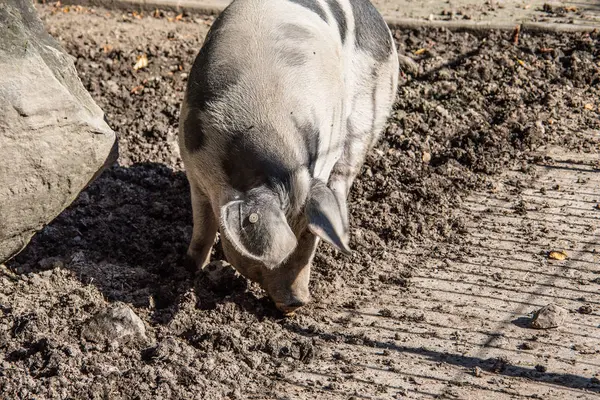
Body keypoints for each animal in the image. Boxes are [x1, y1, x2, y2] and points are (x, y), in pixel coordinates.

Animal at [180, 0, 400, 314]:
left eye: (310, 238)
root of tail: (373, 12)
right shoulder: (192, 163)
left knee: (344, 173)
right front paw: (187, 267)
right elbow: (202, 228)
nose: (298, 302)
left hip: (370, 112)